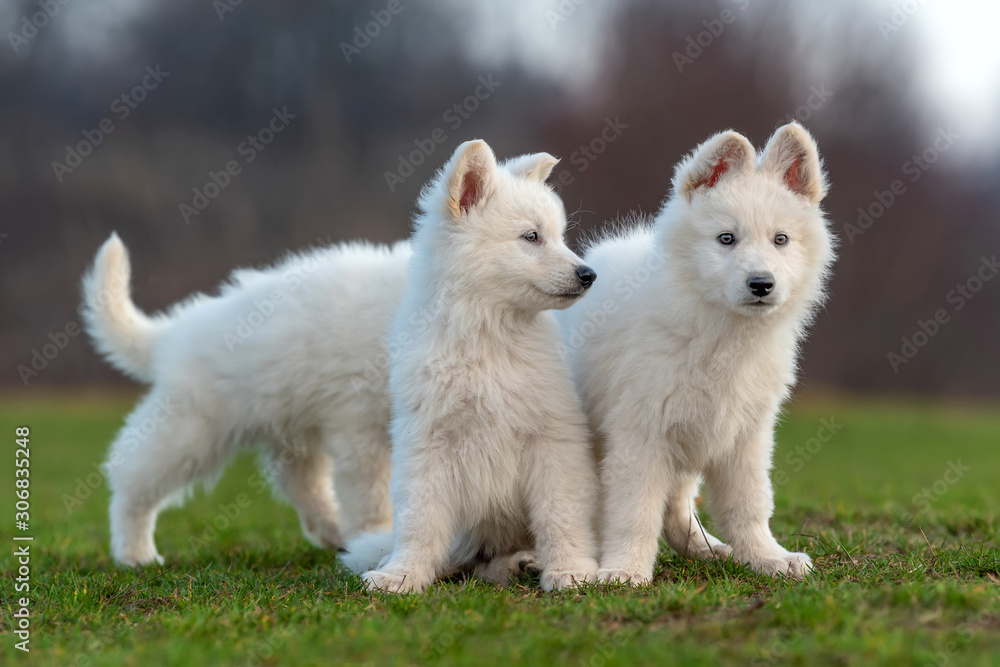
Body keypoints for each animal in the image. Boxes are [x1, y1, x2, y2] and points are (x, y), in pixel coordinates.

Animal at [342, 140, 600, 596]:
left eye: (559, 236)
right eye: (531, 237)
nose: (588, 274)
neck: (488, 335)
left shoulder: (552, 438)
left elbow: (560, 513)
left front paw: (570, 569)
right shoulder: (426, 441)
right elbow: (420, 518)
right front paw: (403, 574)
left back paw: (526, 561)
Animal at [564, 124, 836, 584]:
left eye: (780, 240)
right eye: (726, 239)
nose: (761, 284)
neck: (720, 331)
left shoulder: (745, 435)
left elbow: (749, 505)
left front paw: (767, 558)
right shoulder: (641, 434)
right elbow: (634, 512)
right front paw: (625, 571)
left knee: (677, 508)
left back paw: (707, 549)